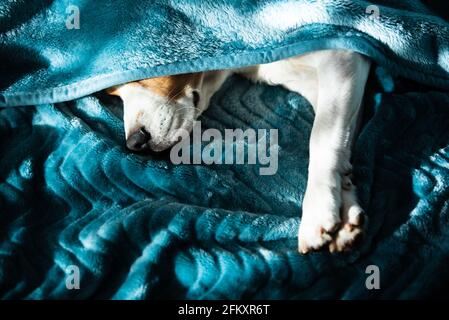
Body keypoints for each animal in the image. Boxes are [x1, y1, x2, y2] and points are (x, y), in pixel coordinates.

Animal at [107, 50, 372, 254]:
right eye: (112, 94)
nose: (135, 142)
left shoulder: (341, 59)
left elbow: (320, 137)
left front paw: (318, 208)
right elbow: (340, 141)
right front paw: (345, 207)